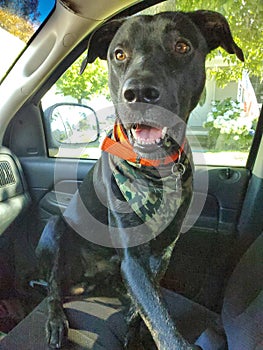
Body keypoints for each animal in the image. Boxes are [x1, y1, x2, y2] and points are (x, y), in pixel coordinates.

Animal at [36, 10, 244, 350]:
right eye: (119, 54)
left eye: (182, 46)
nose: (139, 94)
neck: (156, 168)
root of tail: (83, 285)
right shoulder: (133, 259)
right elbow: (158, 319)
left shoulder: (161, 254)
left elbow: (148, 310)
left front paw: (134, 334)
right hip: (55, 230)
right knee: (53, 288)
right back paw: (55, 321)